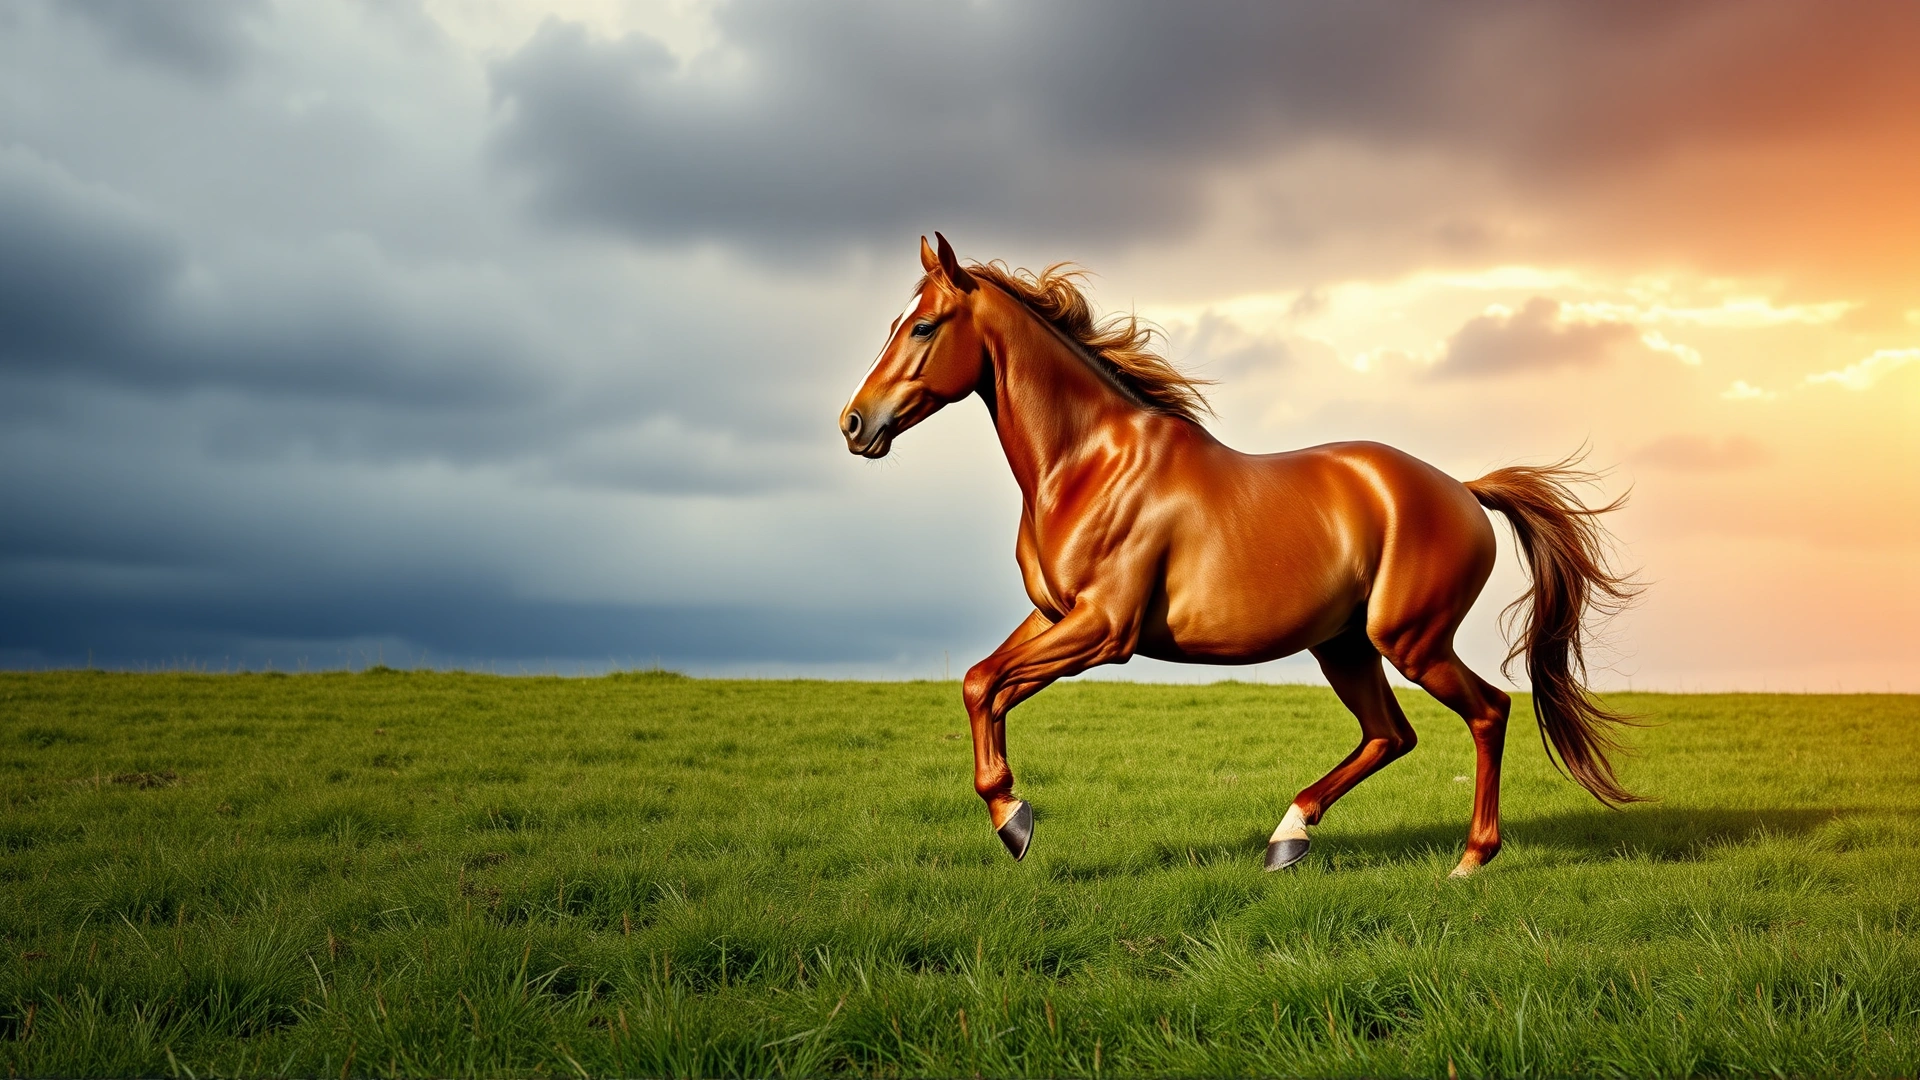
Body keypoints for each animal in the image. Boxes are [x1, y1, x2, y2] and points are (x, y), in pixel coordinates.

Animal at [839, 233, 1642, 877]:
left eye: (923, 326)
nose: (854, 423)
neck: (1086, 464)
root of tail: (1463, 490)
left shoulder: (1103, 630)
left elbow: (987, 684)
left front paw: (1013, 818)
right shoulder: (1052, 616)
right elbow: (984, 684)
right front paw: (1012, 814)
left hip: (1409, 640)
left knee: (1489, 712)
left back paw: (1470, 860)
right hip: (1344, 645)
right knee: (1391, 734)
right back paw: (1288, 840)